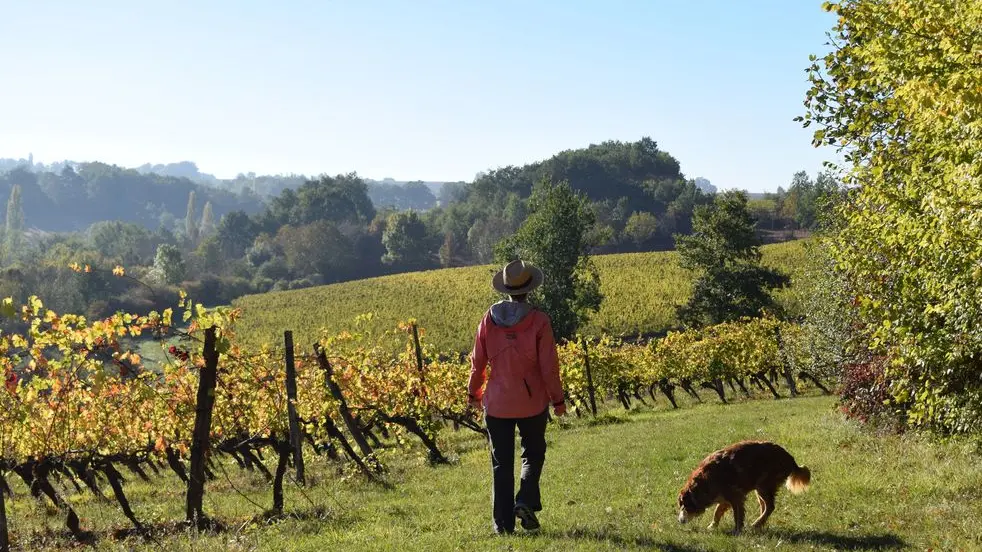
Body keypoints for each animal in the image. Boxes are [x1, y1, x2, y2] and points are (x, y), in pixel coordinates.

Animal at [680, 440, 812, 536]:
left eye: (684, 505)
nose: (680, 521)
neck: (704, 482)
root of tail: (790, 458)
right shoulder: (725, 498)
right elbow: (717, 511)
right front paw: (712, 526)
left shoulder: (736, 497)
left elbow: (737, 516)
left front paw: (737, 531)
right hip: (759, 490)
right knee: (764, 506)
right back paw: (760, 525)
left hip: (764, 486)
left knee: (770, 507)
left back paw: (756, 524)